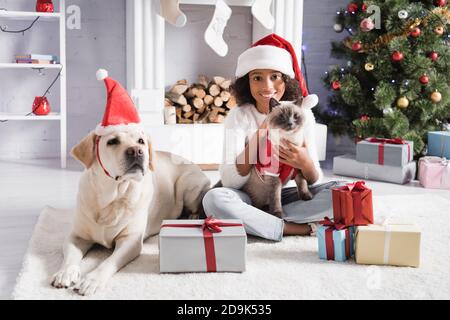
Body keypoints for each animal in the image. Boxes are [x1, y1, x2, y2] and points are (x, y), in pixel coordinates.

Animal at [51, 130, 211, 296]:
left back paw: (191, 216)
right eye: (112, 141)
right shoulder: (77, 236)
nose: (136, 151)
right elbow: (70, 257)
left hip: (187, 185)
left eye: (141, 141)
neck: (111, 198)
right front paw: (65, 273)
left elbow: (108, 262)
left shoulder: (130, 241)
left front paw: (92, 280)